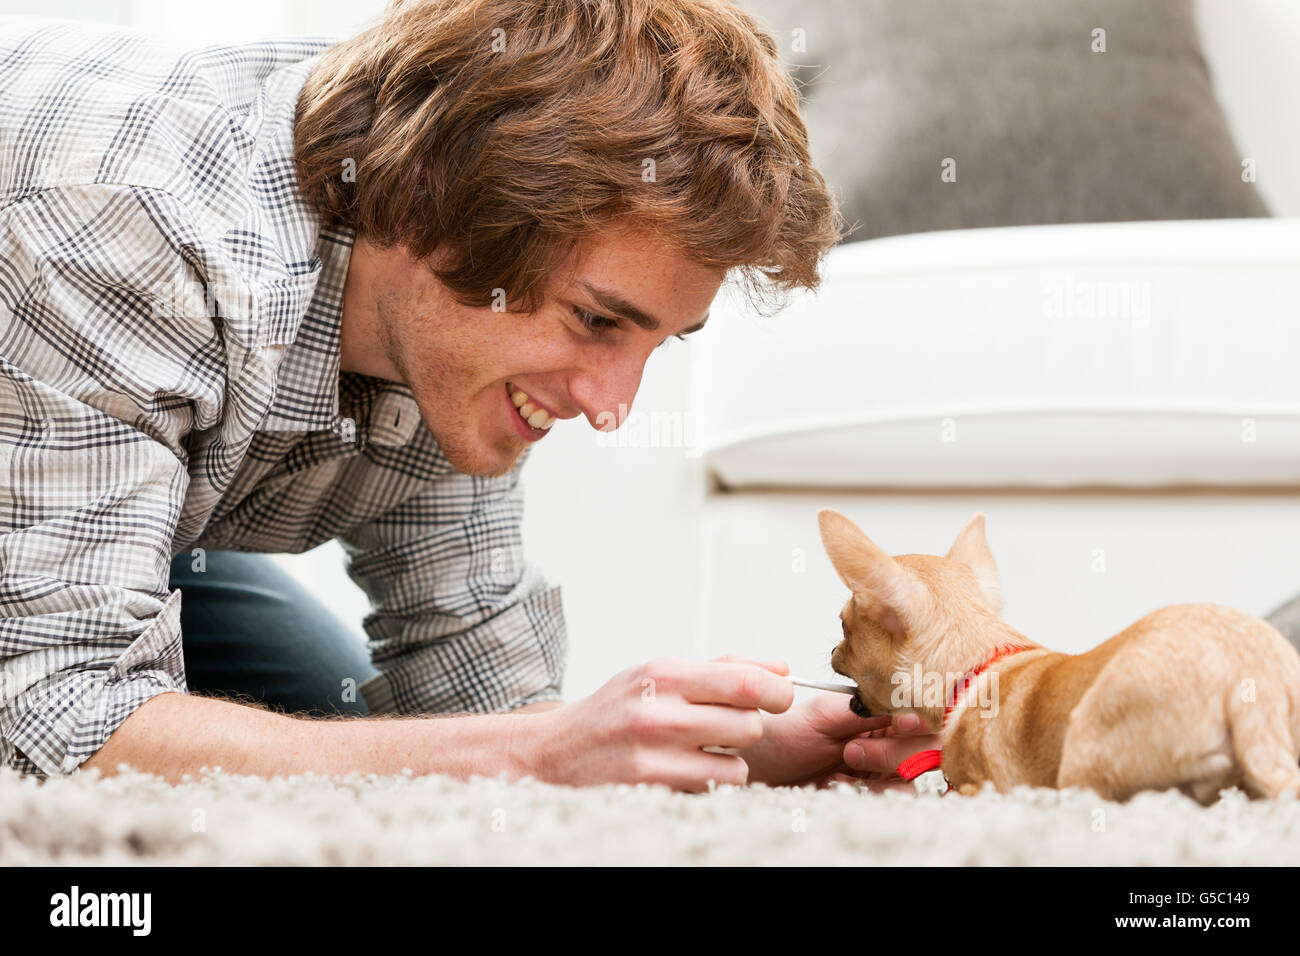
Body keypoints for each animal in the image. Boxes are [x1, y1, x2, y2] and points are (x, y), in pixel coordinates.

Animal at [816, 509, 1300, 806]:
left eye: (842, 627)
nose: (831, 651)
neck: (980, 666)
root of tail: (1252, 691)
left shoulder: (980, 789)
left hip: (1086, 750)